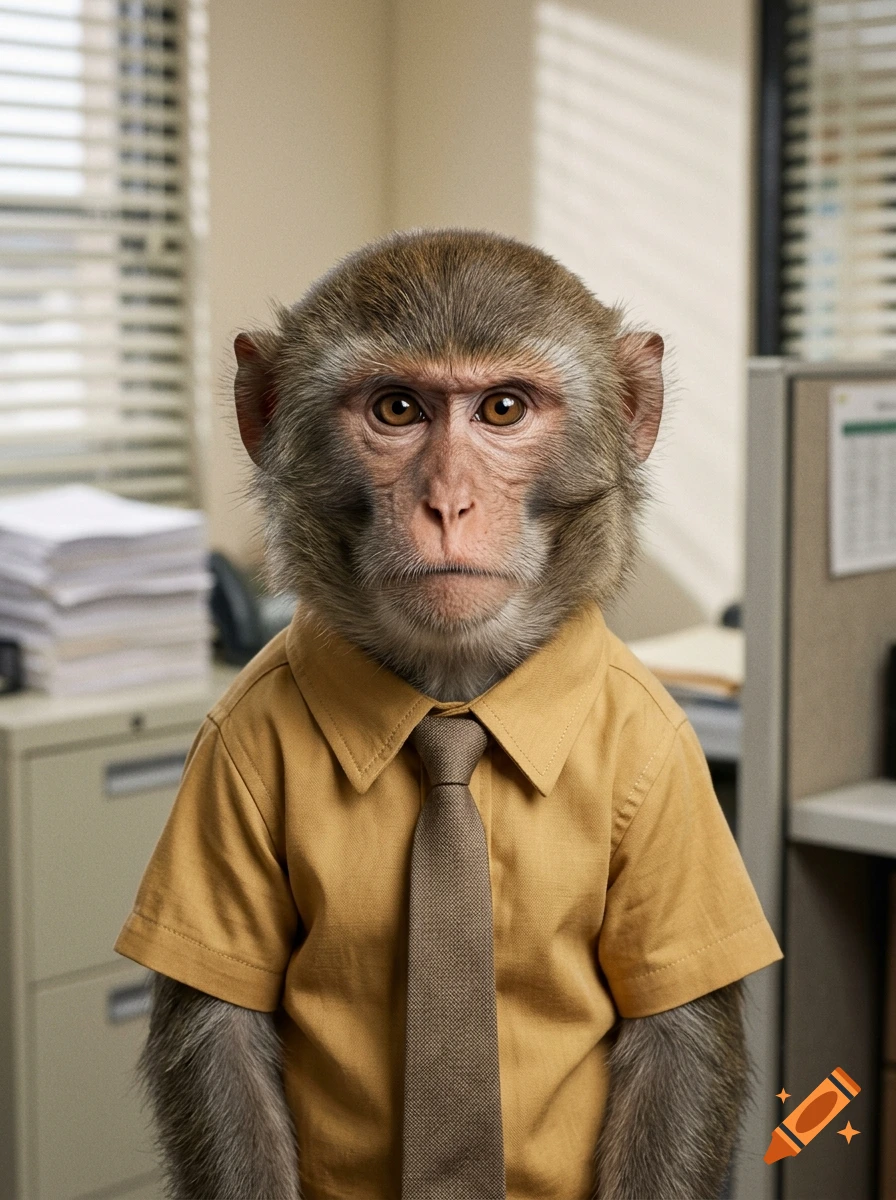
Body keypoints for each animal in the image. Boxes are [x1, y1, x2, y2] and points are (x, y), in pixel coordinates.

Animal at [120, 229, 780, 1200]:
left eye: (502, 408)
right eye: (398, 408)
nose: (446, 503)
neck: (451, 700)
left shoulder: (671, 764)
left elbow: (678, 1037)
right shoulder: (225, 755)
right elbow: (221, 1034)